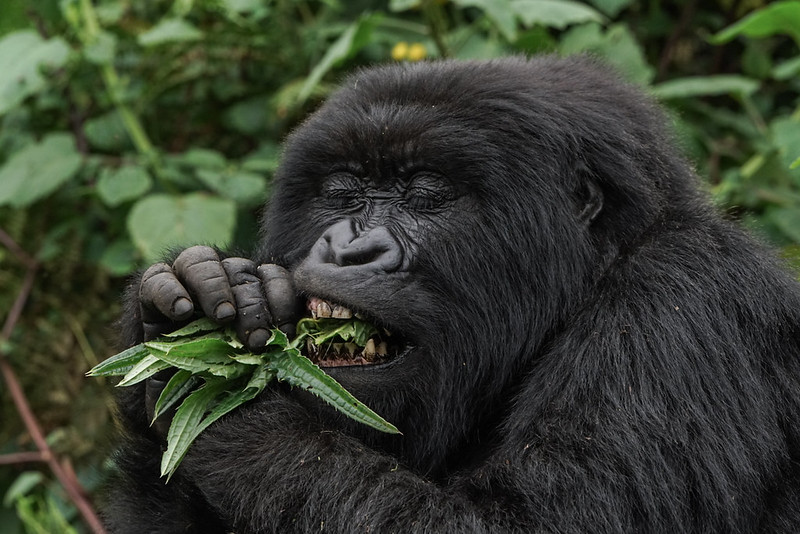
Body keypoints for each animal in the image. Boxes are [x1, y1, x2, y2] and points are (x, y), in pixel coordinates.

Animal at [104, 56, 800, 532]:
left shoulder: (679, 306)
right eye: (344, 191)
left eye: (423, 194)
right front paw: (187, 304)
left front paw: (232, 404)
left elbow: (526, 524)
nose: (349, 249)